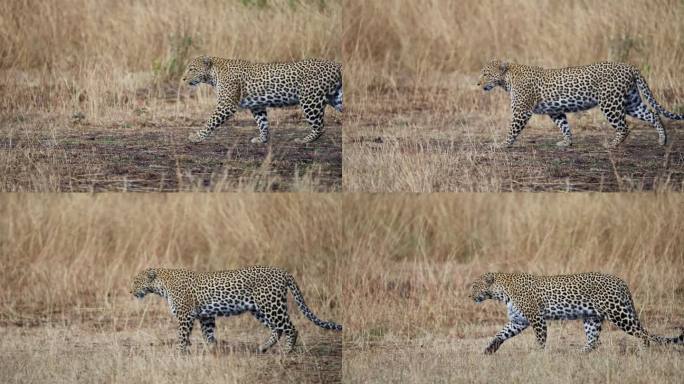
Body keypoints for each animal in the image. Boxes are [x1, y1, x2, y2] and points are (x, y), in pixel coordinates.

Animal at [130, 268, 342, 354]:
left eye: (136, 281)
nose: (130, 291)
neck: (162, 286)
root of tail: (284, 272)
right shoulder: (206, 316)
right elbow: (208, 334)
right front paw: (213, 350)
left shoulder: (185, 316)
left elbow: (182, 336)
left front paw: (179, 352)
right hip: (260, 309)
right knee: (277, 329)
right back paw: (262, 348)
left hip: (271, 305)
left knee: (291, 328)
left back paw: (287, 351)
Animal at [180, 56, 342, 146]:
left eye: (192, 69)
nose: (183, 79)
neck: (213, 75)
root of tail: (336, 65)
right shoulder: (256, 105)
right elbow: (262, 123)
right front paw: (262, 139)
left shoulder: (226, 105)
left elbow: (210, 122)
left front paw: (196, 137)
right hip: (335, 98)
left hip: (310, 99)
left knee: (320, 126)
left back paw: (304, 140)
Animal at [470, 272, 684, 354]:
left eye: (474, 286)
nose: (469, 296)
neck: (501, 292)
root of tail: (622, 282)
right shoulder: (518, 320)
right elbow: (501, 333)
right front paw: (489, 349)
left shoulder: (536, 318)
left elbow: (540, 338)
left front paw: (537, 355)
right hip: (592, 318)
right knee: (594, 341)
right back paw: (578, 354)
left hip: (618, 313)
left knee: (642, 334)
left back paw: (644, 351)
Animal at [476, 60, 684, 148]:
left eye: (485, 73)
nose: (477, 84)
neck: (507, 80)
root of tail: (630, 66)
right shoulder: (555, 111)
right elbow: (564, 126)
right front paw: (566, 143)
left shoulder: (521, 111)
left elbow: (512, 129)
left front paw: (503, 144)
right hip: (631, 101)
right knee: (652, 114)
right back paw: (662, 140)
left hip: (610, 103)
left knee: (624, 127)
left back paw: (611, 145)